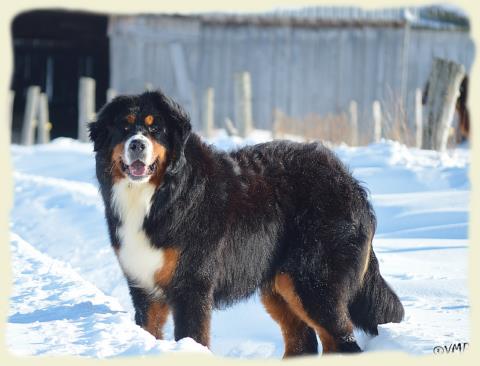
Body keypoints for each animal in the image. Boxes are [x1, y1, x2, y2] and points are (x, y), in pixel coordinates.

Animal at [88, 89, 404, 358]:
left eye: (156, 129)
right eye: (124, 127)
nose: (137, 144)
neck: (159, 195)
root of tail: (350, 183)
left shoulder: (191, 286)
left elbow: (192, 337)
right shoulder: (144, 288)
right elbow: (150, 331)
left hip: (313, 281)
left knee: (342, 341)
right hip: (280, 285)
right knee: (302, 342)